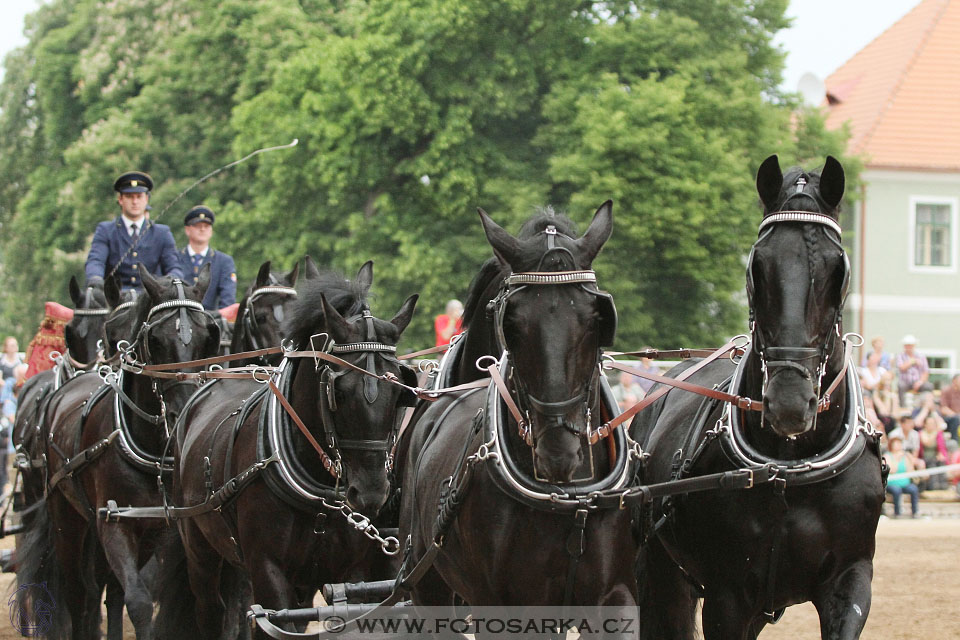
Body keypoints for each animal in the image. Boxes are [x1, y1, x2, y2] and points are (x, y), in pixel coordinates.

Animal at [154, 262, 416, 640]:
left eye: (400, 393)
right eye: (339, 392)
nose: (371, 494)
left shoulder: (356, 572)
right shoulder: (267, 570)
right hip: (200, 549)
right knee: (210, 608)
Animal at [398, 204, 636, 616]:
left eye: (597, 318)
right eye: (511, 321)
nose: (558, 452)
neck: (567, 497)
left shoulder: (615, 595)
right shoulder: (505, 605)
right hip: (427, 582)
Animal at [632, 155, 888, 640]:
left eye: (838, 269)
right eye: (759, 266)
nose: (789, 402)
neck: (792, 467)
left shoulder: (850, 579)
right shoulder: (728, 595)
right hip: (660, 574)